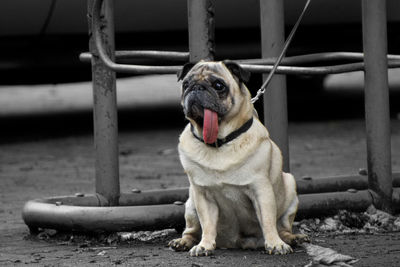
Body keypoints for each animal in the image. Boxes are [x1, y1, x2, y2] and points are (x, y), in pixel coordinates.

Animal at [167, 60, 308, 258]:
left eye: (219, 86)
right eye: (185, 84)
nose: (196, 87)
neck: (220, 142)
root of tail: (235, 242)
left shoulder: (261, 190)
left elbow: (268, 220)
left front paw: (275, 244)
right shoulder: (203, 195)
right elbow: (207, 224)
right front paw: (205, 245)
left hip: (290, 188)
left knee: (282, 227)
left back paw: (291, 238)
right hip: (191, 204)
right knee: (192, 230)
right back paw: (183, 242)